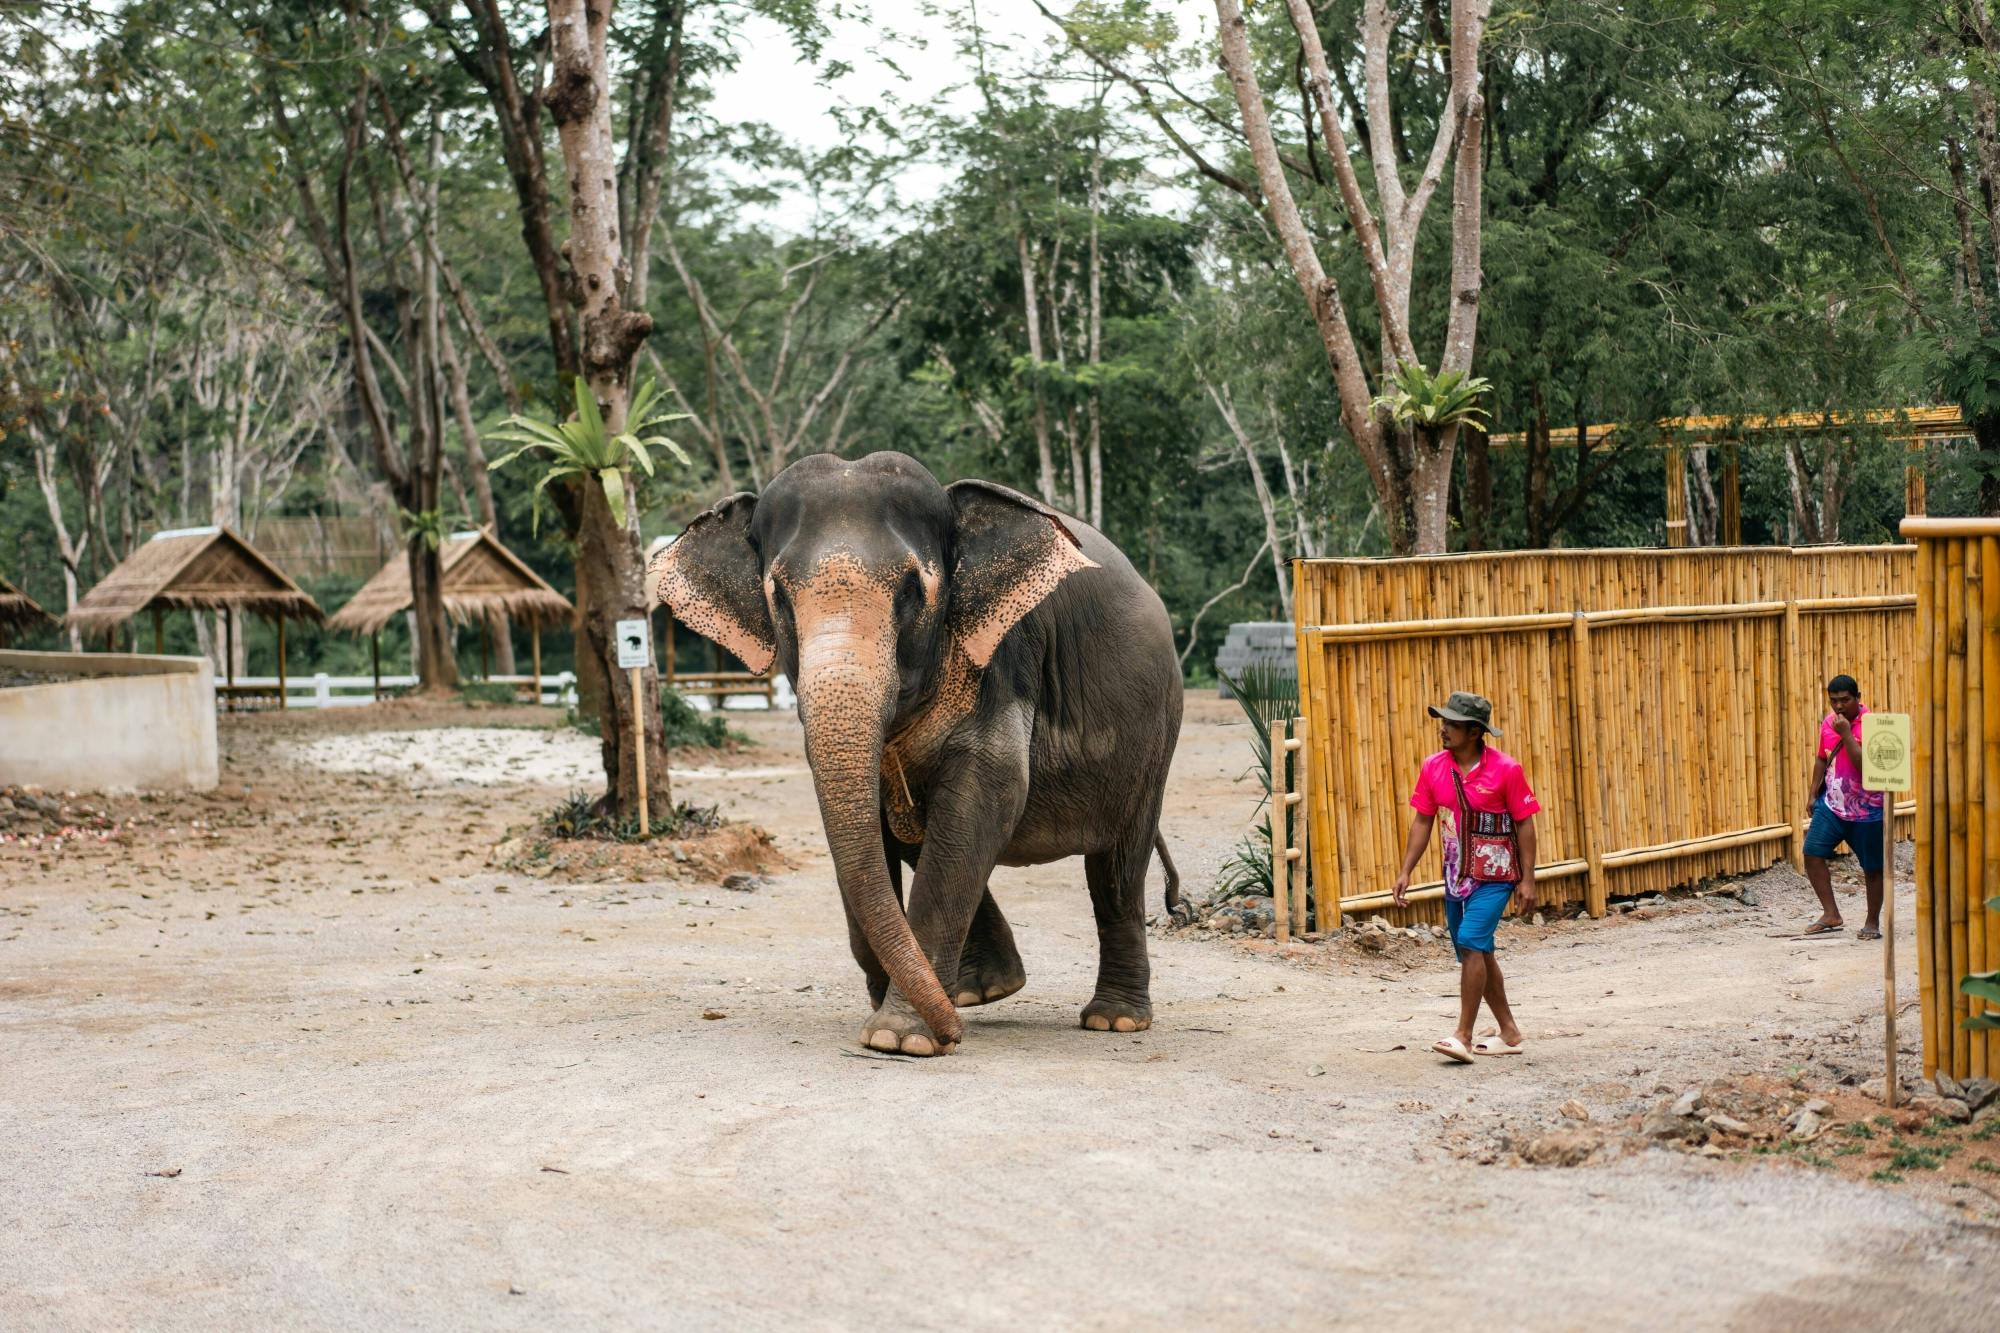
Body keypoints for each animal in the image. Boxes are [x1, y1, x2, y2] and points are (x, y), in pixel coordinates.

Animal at [648, 451, 1184, 1056]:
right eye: (778, 597)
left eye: (911, 592)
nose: (952, 1036)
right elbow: (875, 830)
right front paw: (908, 1013)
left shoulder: (1005, 659)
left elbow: (989, 795)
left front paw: (900, 1037)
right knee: (922, 834)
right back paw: (985, 990)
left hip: (1155, 732)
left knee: (1117, 867)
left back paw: (1113, 1021)